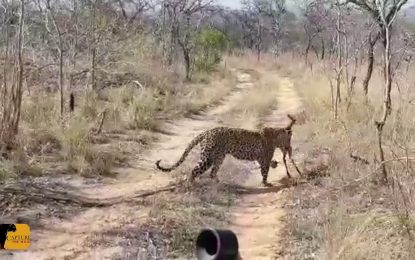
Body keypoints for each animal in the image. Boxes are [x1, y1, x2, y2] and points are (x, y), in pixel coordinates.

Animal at [156, 114, 302, 187]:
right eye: (289, 139)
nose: (289, 148)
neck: (275, 136)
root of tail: (207, 132)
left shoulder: (261, 159)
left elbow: (265, 167)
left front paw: (274, 165)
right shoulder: (264, 159)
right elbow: (265, 172)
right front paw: (266, 183)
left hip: (219, 157)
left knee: (212, 173)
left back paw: (221, 183)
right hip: (208, 157)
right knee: (194, 171)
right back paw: (190, 185)